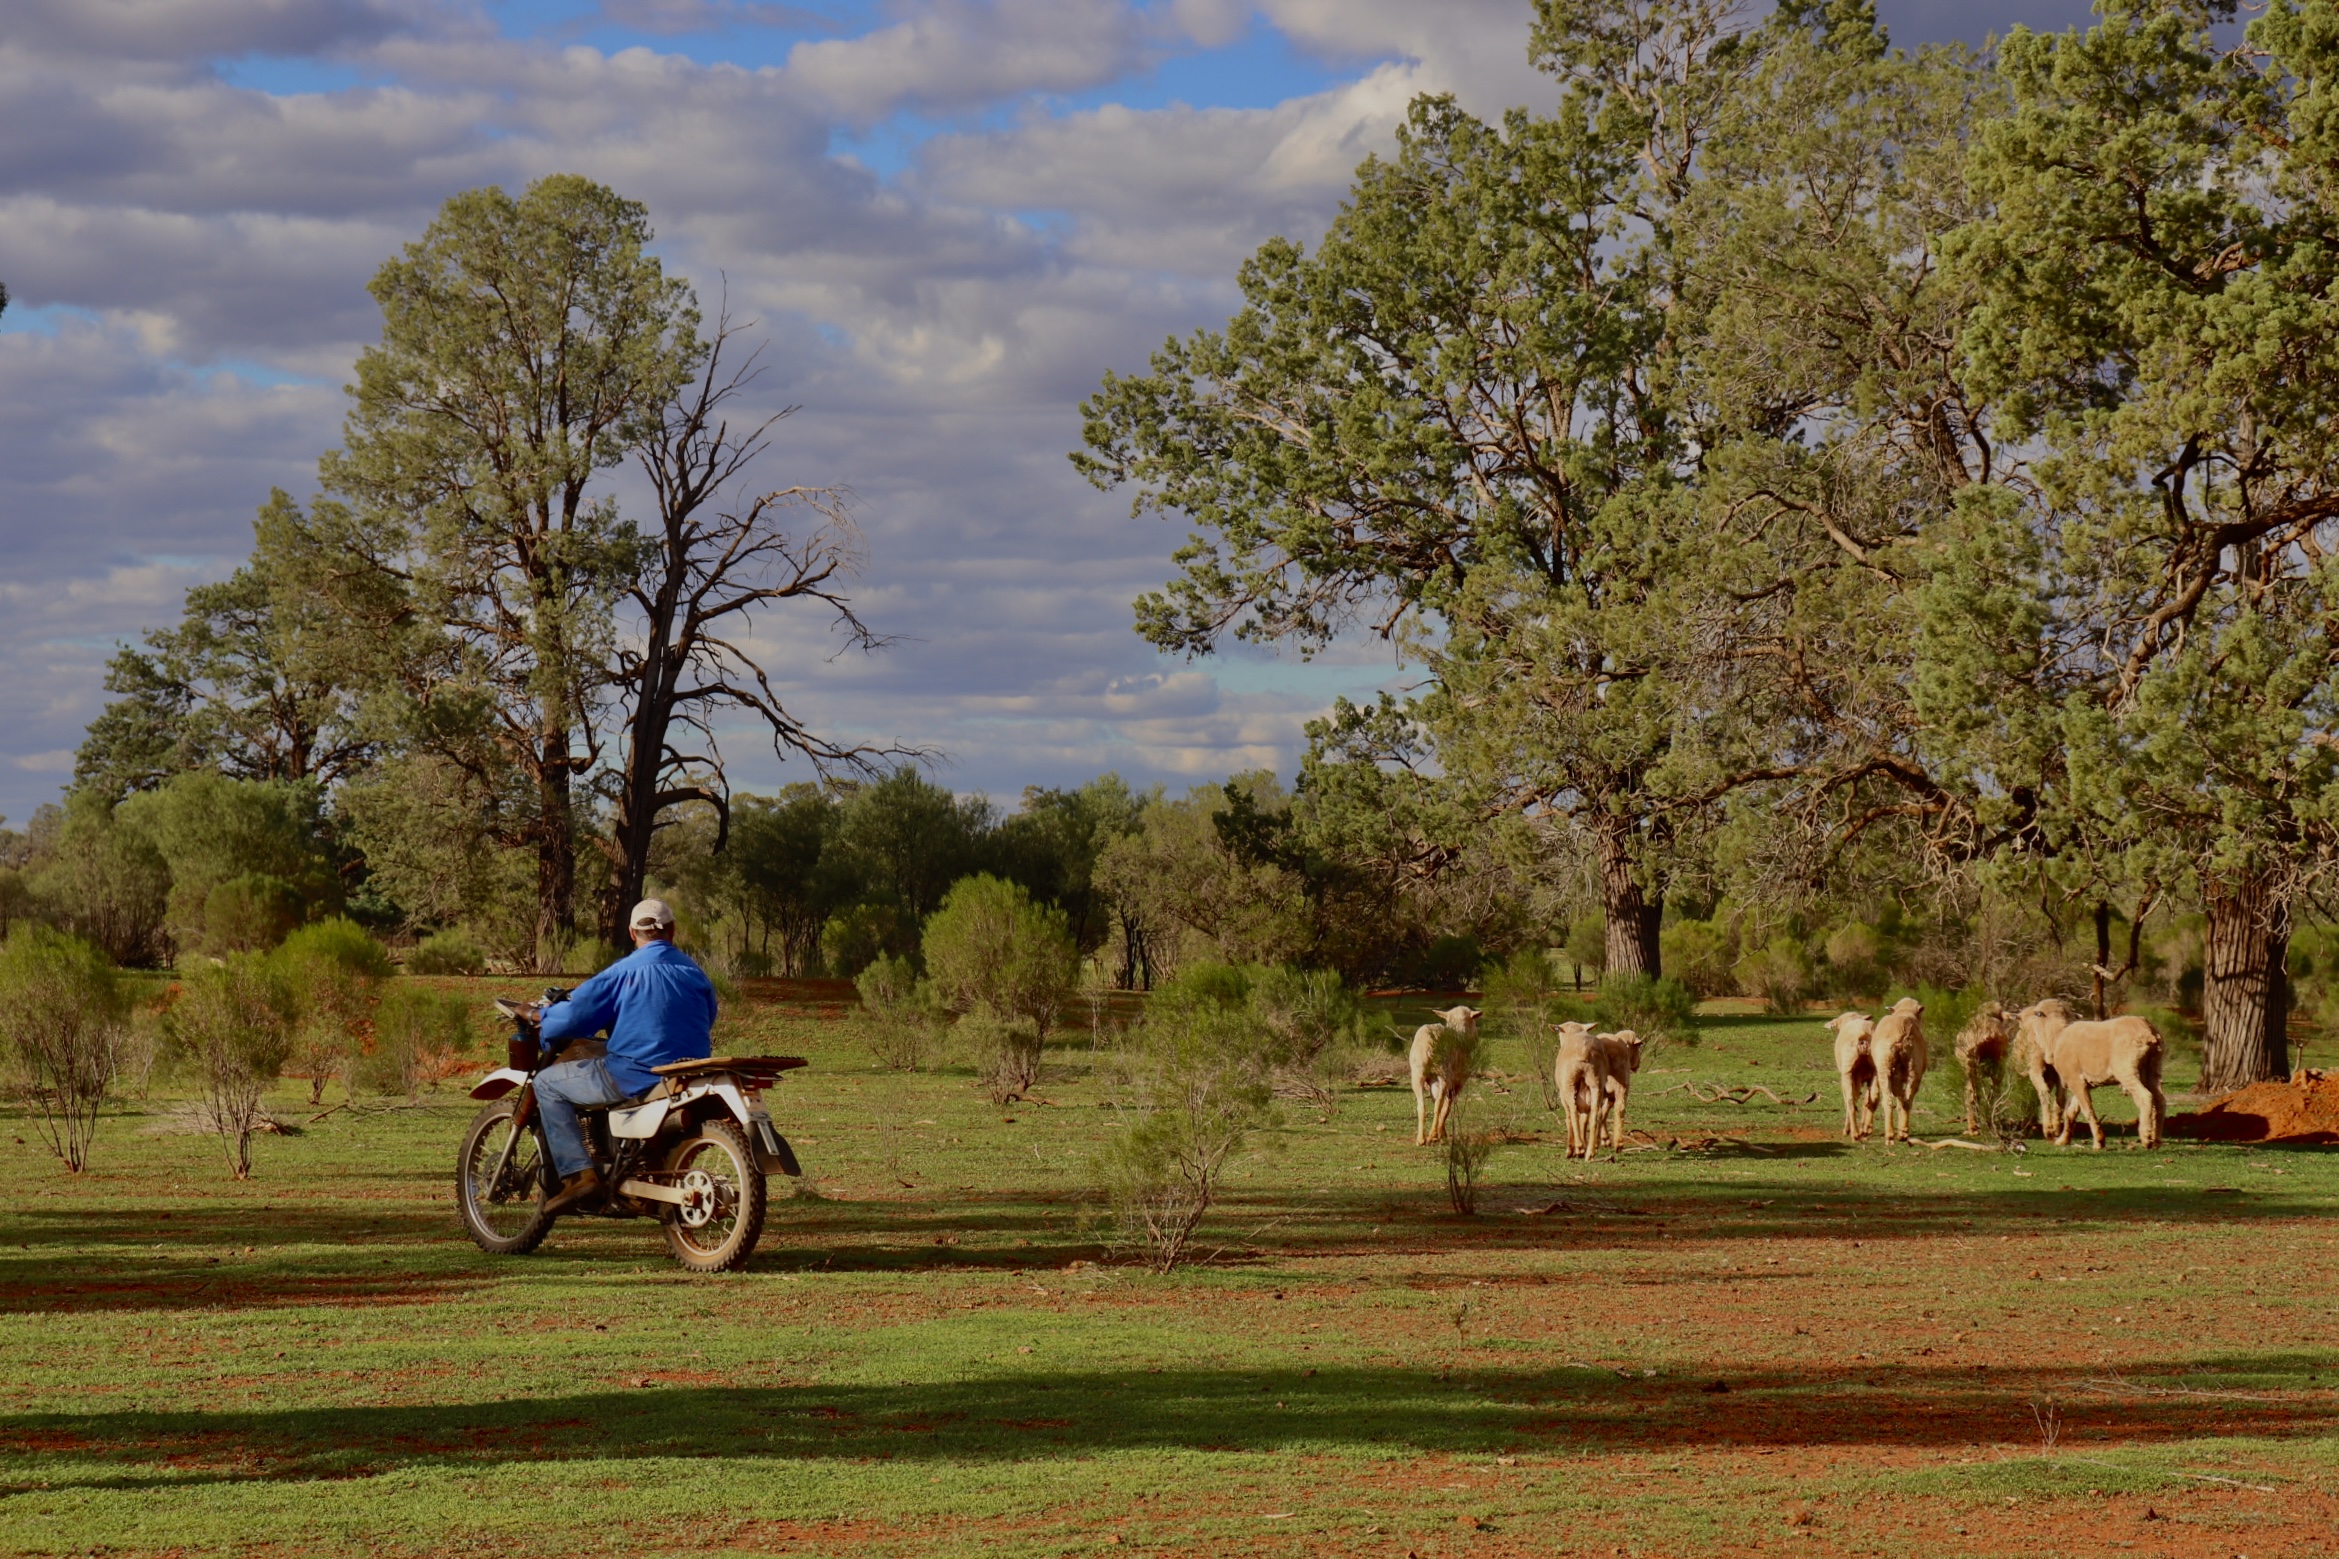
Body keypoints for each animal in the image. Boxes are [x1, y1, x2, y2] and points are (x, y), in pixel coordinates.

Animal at [1403, 1014, 1478, 1145]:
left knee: (1422, 1105)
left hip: (1418, 1075)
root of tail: (1429, 1044)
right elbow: (1446, 1106)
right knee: (1439, 1105)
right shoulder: (1457, 1082)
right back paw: (1432, 1134)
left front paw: (1441, 1132)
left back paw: (1421, 1139)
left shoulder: (1433, 1082)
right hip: (1443, 1075)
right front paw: (1441, 1134)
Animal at [1553, 1023, 1609, 1159]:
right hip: (1596, 1082)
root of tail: (1584, 1050)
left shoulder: (1563, 1096)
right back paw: (1589, 1152)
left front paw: (1571, 1149)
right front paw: (1584, 1143)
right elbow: (1584, 1119)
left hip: (1569, 1083)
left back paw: (1578, 1147)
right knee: (1595, 1114)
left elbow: (1569, 1117)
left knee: (1573, 1113)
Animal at [1871, 1000, 1927, 1145]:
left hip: (1884, 1067)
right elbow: (1901, 1097)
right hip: (1914, 1069)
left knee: (1888, 1101)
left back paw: (1890, 1136)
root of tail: (1902, 1029)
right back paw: (1903, 1133)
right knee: (1907, 1101)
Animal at [1955, 1000, 2011, 1135]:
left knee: (1972, 1093)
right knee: (1993, 1093)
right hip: (1999, 1063)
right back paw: (1989, 1122)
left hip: (1970, 1064)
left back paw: (1973, 1128)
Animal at [2011, 1000, 2170, 1145]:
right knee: (2160, 1100)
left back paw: (2146, 1137)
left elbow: (2087, 1109)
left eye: (2035, 1015)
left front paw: (2098, 1142)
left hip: (2127, 1070)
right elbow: (2071, 1111)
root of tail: (2148, 1031)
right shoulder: (2080, 1082)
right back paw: (2156, 1139)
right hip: (2153, 1069)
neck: (2057, 1036)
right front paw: (2063, 1140)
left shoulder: (2075, 1080)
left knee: (2145, 1096)